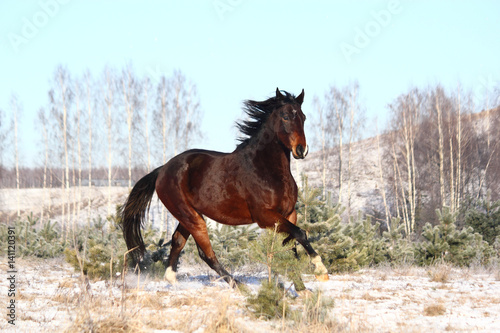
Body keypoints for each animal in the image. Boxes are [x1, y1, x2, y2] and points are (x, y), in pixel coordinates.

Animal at [122, 87, 328, 286]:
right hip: (192, 217)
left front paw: (301, 286)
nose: (301, 150)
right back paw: (238, 284)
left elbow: (292, 241)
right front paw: (320, 269)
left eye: (303, 117)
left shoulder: (289, 213)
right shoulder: (265, 216)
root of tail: (163, 169)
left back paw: (172, 280)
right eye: (285, 116)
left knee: (177, 241)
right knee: (206, 254)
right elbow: (299, 233)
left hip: (188, 215)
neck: (265, 169)